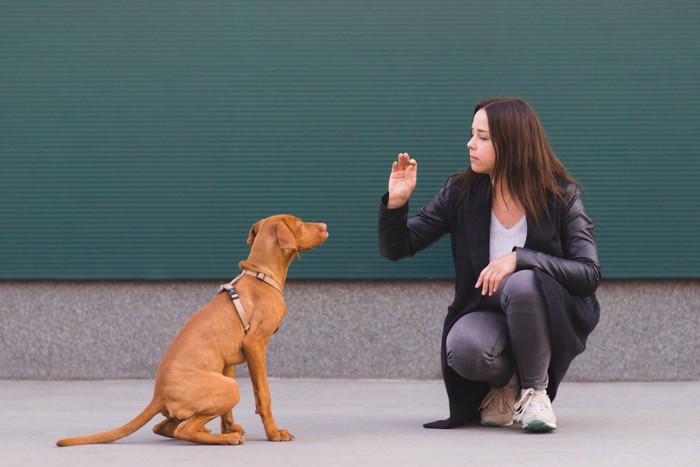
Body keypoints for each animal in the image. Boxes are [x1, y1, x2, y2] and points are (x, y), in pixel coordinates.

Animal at [56, 214, 328, 448]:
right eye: (300, 223)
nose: (325, 226)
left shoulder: (230, 360)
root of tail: (158, 395)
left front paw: (229, 427)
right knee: (182, 430)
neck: (261, 275)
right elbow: (264, 395)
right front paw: (273, 433)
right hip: (229, 387)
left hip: (221, 385)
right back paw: (226, 439)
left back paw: (215, 432)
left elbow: (227, 412)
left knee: (165, 427)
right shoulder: (255, 345)